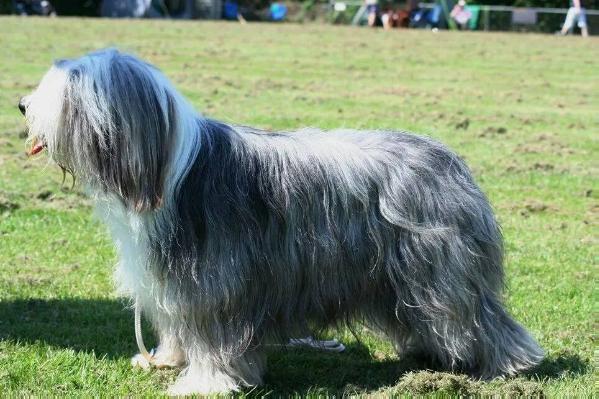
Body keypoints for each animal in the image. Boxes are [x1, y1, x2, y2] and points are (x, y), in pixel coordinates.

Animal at [17, 48, 544, 396]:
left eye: (66, 88)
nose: (21, 105)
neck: (165, 166)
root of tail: (448, 158)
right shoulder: (174, 284)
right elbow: (176, 327)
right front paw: (168, 360)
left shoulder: (215, 283)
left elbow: (212, 336)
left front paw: (204, 384)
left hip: (438, 272)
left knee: (477, 317)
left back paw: (509, 365)